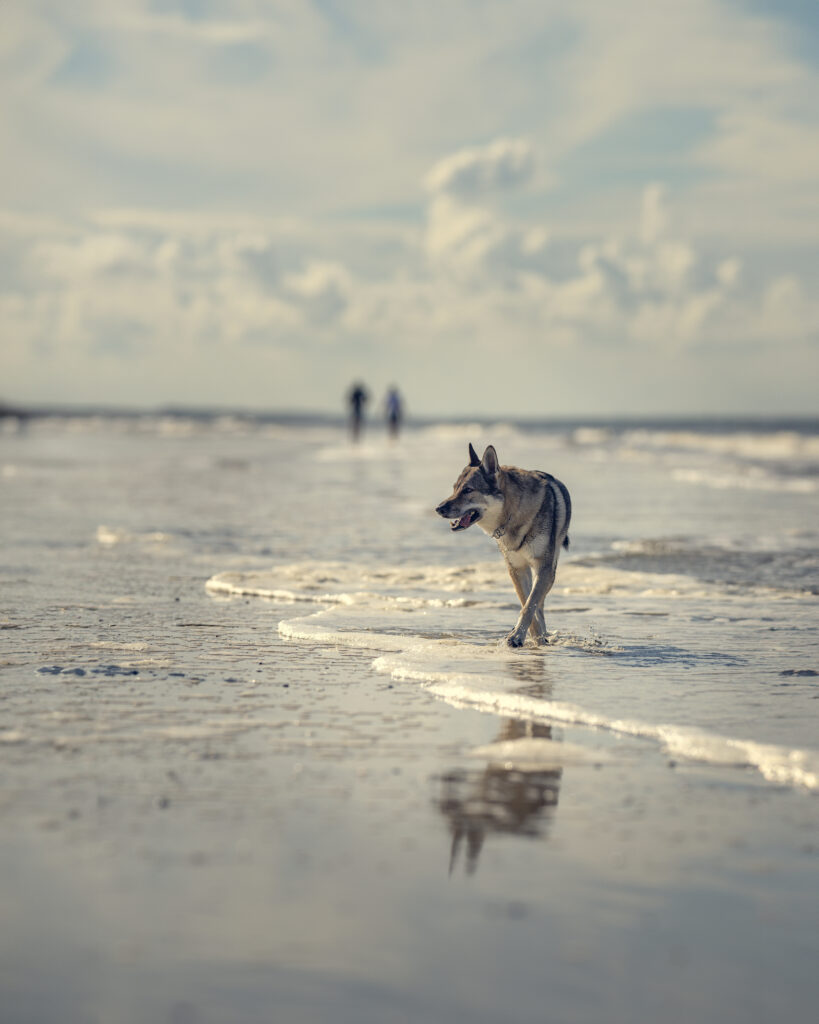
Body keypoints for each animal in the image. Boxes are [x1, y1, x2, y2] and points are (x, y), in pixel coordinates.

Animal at [434, 442, 569, 647]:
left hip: (550, 571)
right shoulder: (516, 568)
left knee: (540, 600)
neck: (514, 516)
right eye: (455, 488)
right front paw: (529, 637)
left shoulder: (542, 568)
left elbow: (529, 605)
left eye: (467, 490)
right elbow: (526, 603)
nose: (438, 509)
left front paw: (519, 636)